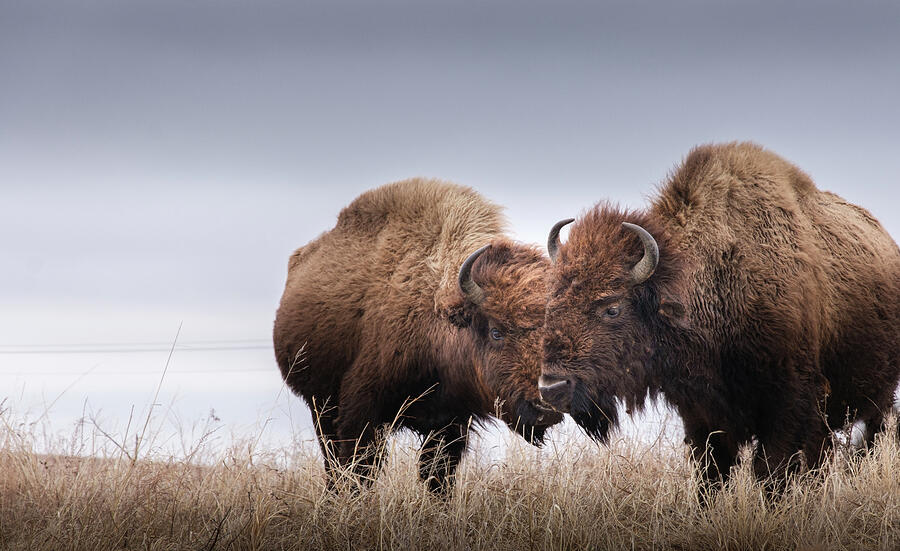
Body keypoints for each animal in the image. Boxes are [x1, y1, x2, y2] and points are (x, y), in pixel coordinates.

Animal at [272, 179, 564, 494]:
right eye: (496, 332)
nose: (546, 406)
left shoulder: (451, 424)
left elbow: (436, 476)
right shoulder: (361, 413)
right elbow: (361, 469)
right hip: (320, 404)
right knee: (332, 458)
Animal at [540, 142, 900, 492]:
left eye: (612, 307)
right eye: (553, 298)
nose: (551, 386)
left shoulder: (788, 406)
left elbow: (770, 471)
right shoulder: (702, 414)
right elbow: (711, 473)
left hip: (878, 397)